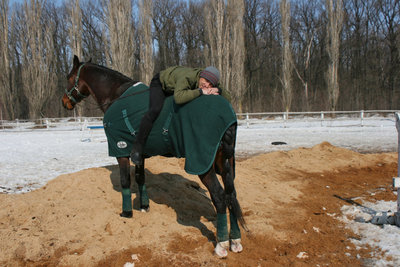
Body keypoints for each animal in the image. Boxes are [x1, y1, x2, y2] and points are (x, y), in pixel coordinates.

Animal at [61, 55, 247, 258]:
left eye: (69, 77)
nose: (64, 101)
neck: (116, 94)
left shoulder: (121, 150)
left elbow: (125, 180)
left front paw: (127, 213)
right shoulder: (139, 153)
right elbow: (140, 177)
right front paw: (144, 206)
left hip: (203, 165)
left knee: (220, 197)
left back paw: (221, 244)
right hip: (224, 164)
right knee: (231, 195)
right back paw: (235, 241)